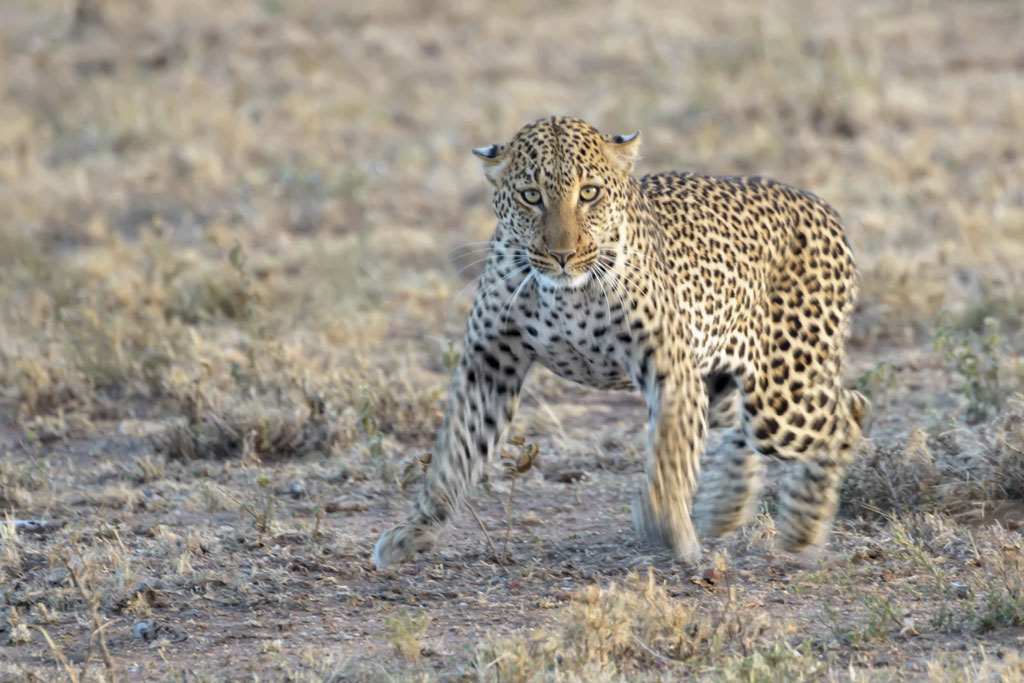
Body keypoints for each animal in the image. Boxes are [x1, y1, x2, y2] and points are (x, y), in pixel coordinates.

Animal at [374, 116, 869, 569]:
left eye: (589, 193)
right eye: (531, 196)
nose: (562, 254)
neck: (564, 294)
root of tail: (819, 204)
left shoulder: (670, 367)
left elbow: (670, 452)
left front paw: (664, 522)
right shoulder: (489, 363)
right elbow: (454, 454)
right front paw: (414, 531)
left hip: (781, 398)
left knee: (847, 415)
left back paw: (802, 529)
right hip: (725, 381)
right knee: (752, 426)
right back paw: (724, 510)